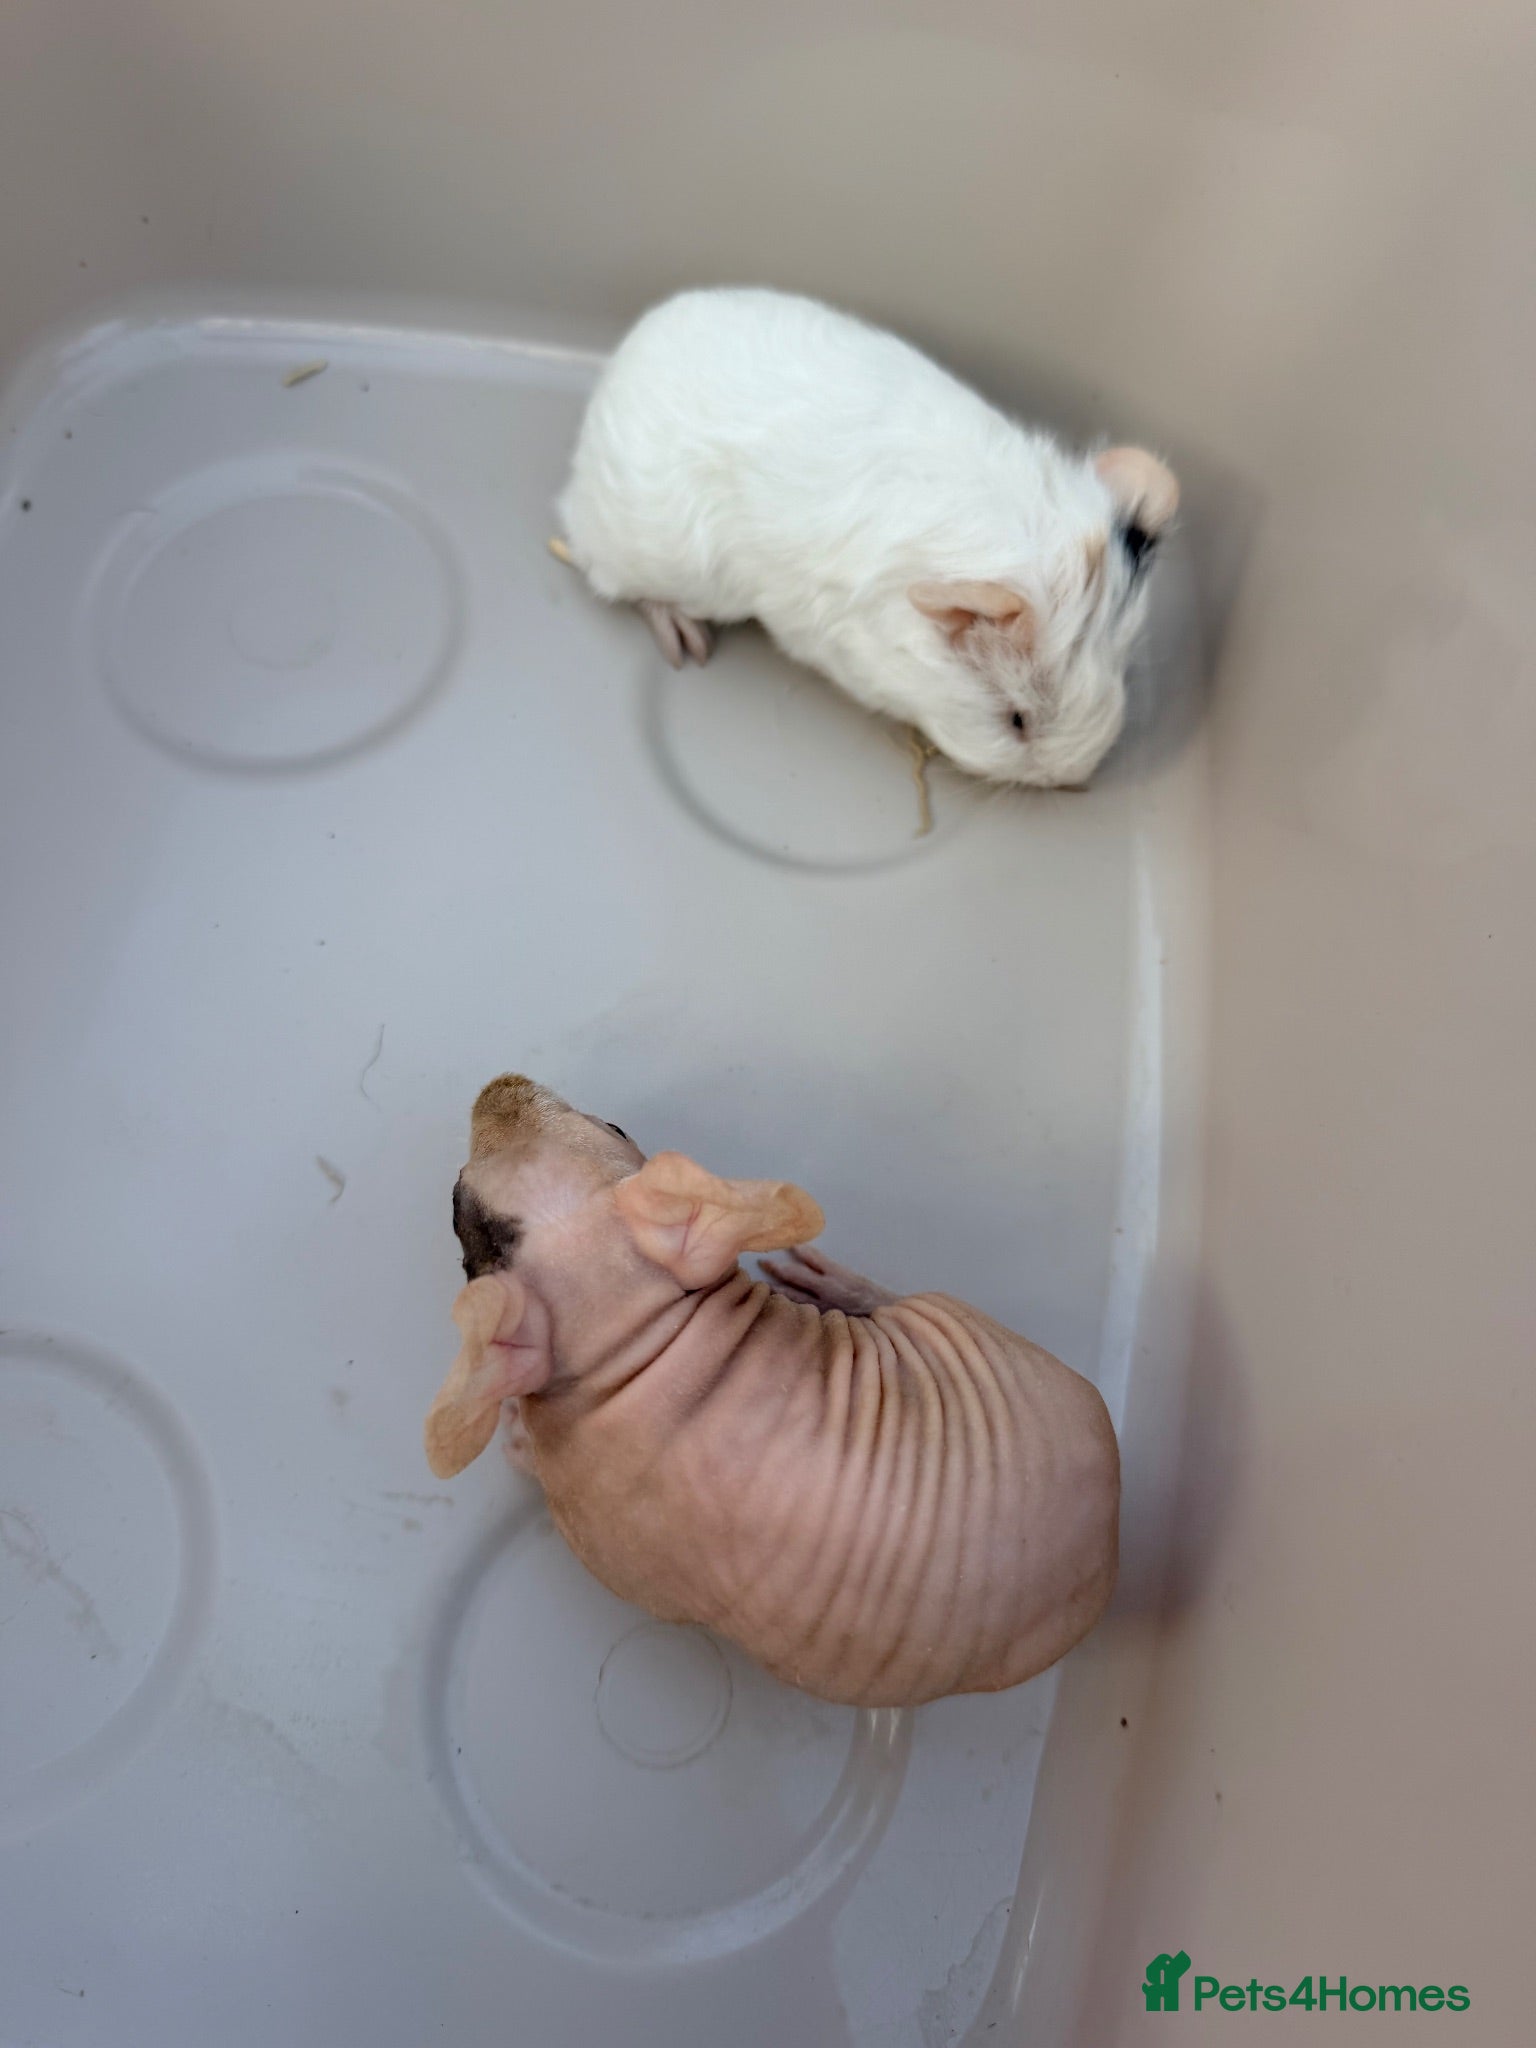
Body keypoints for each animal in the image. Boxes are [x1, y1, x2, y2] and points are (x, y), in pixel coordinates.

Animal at [424, 1074, 1120, 1709]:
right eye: (616, 1129)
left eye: (459, 1215)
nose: (500, 1085)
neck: (645, 1344)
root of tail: (1109, 1543)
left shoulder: (597, 1531)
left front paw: (517, 1434)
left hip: (949, 1314)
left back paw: (847, 1288)